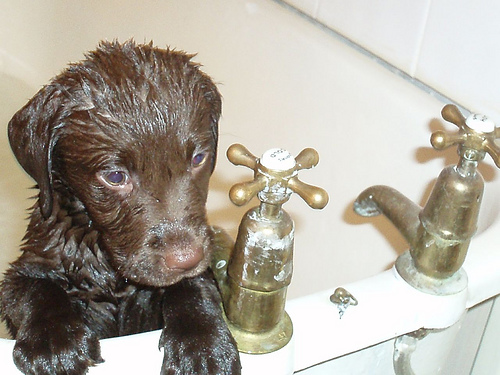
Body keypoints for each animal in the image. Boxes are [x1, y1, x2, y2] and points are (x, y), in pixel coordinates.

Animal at [0, 41, 242, 375]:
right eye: (115, 176)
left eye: (198, 159)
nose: (186, 259)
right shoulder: (31, 263)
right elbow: (34, 288)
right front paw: (52, 341)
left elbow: (196, 285)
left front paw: (202, 342)